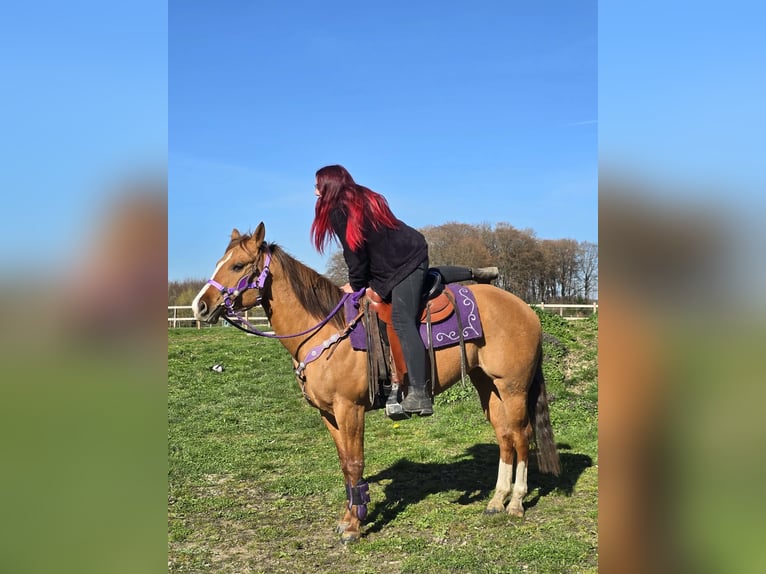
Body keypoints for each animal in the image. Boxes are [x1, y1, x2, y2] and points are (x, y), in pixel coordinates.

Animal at [191, 222, 560, 543]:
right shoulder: (328, 415)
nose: (200, 306)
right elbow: (344, 465)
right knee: (505, 437)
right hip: (489, 387)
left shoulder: (349, 409)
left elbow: (355, 463)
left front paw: (355, 526)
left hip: (513, 388)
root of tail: (526, 309)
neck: (325, 330)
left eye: (238, 265)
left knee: (521, 436)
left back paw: (516, 502)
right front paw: (349, 516)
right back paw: (497, 501)